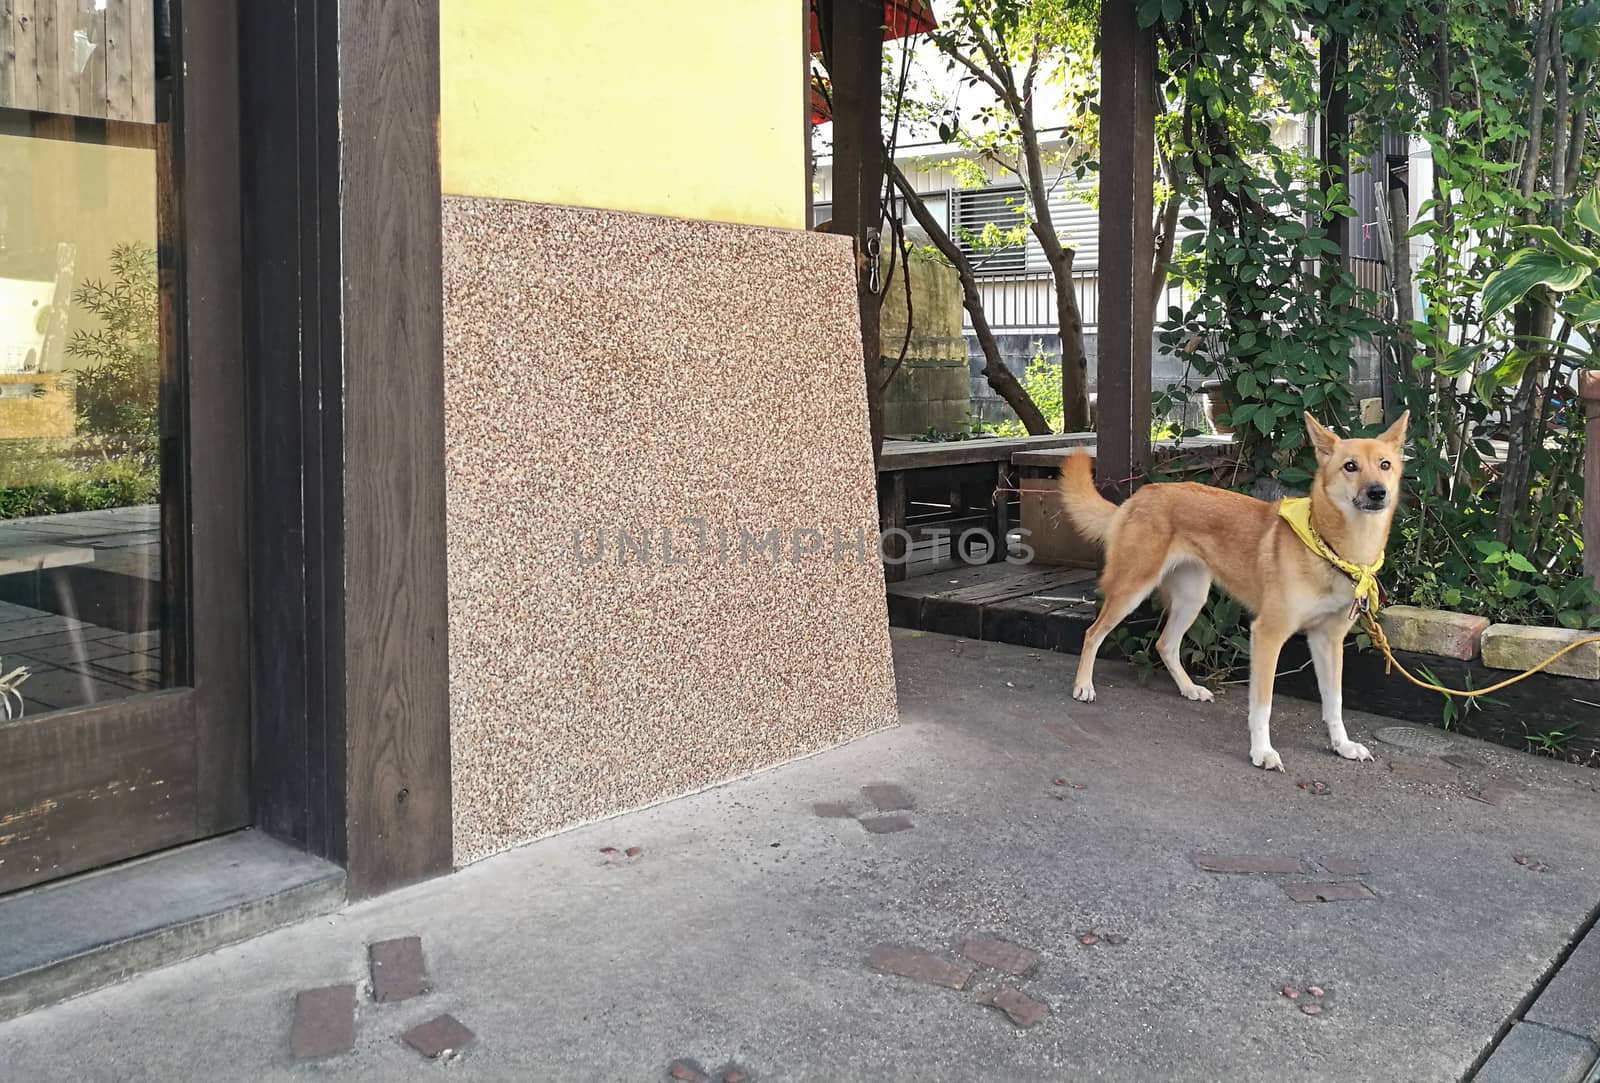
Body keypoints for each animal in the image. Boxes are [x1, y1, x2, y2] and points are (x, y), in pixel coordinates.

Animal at [1062, 407, 1414, 767]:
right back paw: (1084, 686)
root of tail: (1141, 495)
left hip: (1192, 598)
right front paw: (1262, 751)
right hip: (1132, 589)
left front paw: (1342, 745)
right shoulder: (1268, 635)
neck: (1331, 549)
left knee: (1165, 644)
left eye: (1385, 464)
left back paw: (1189, 689)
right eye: (1350, 466)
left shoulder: (1328, 640)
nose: (1377, 492)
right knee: (1093, 633)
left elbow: (1335, 702)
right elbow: (1262, 705)